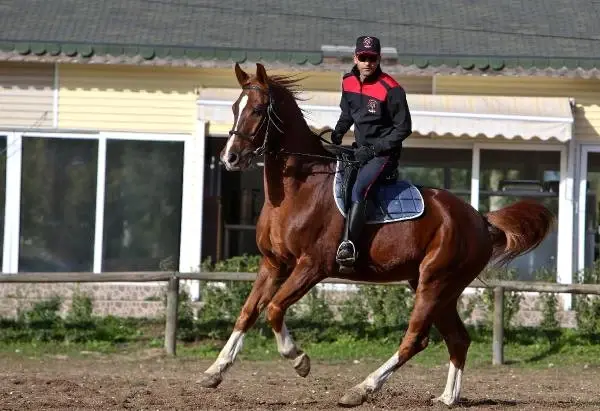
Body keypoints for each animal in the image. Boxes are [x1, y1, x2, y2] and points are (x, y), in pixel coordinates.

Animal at [199, 62, 556, 408]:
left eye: (258, 110)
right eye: (235, 107)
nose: (229, 158)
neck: (297, 189)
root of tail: (480, 220)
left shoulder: (312, 267)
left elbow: (273, 308)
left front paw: (299, 360)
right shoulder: (273, 264)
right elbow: (247, 312)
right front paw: (214, 372)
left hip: (435, 283)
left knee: (416, 339)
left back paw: (361, 389)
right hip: (439, 288)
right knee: (458, 339)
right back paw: (447, 398)